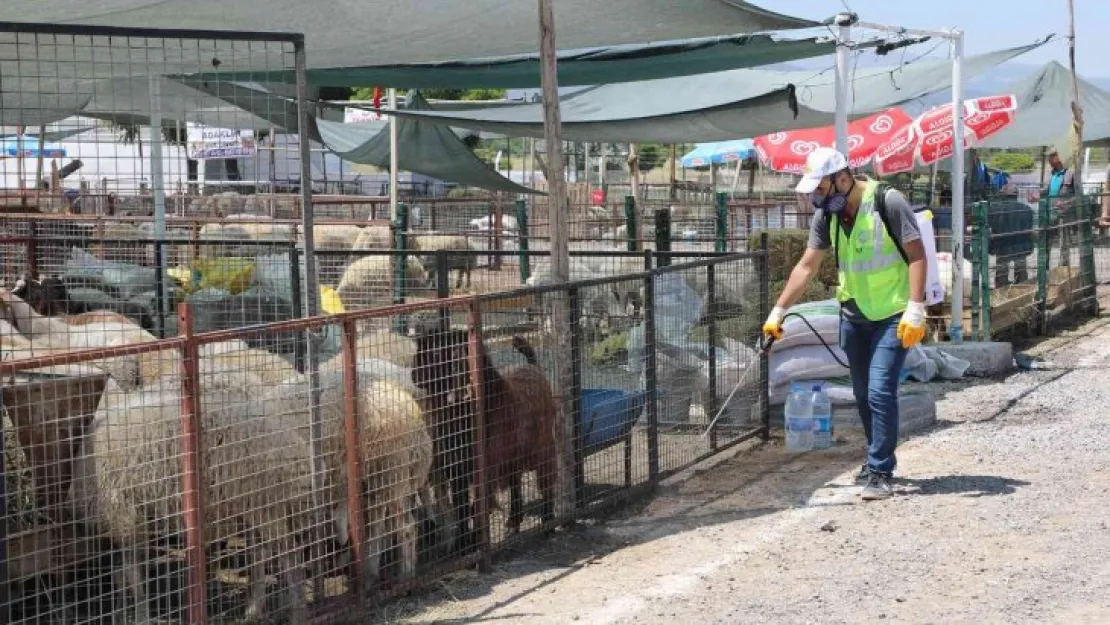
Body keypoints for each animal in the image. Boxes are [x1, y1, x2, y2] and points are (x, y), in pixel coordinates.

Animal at [69, 381, 313, 625]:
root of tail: (289, 441)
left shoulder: (124, 513)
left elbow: (132, 574)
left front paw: (140, 614)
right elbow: (122, 575)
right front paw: (122, 610)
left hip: (266, 502)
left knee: (290, 557)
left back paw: (298, 612)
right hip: (253, 504)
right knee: (259, 555)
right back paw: (254, 610)